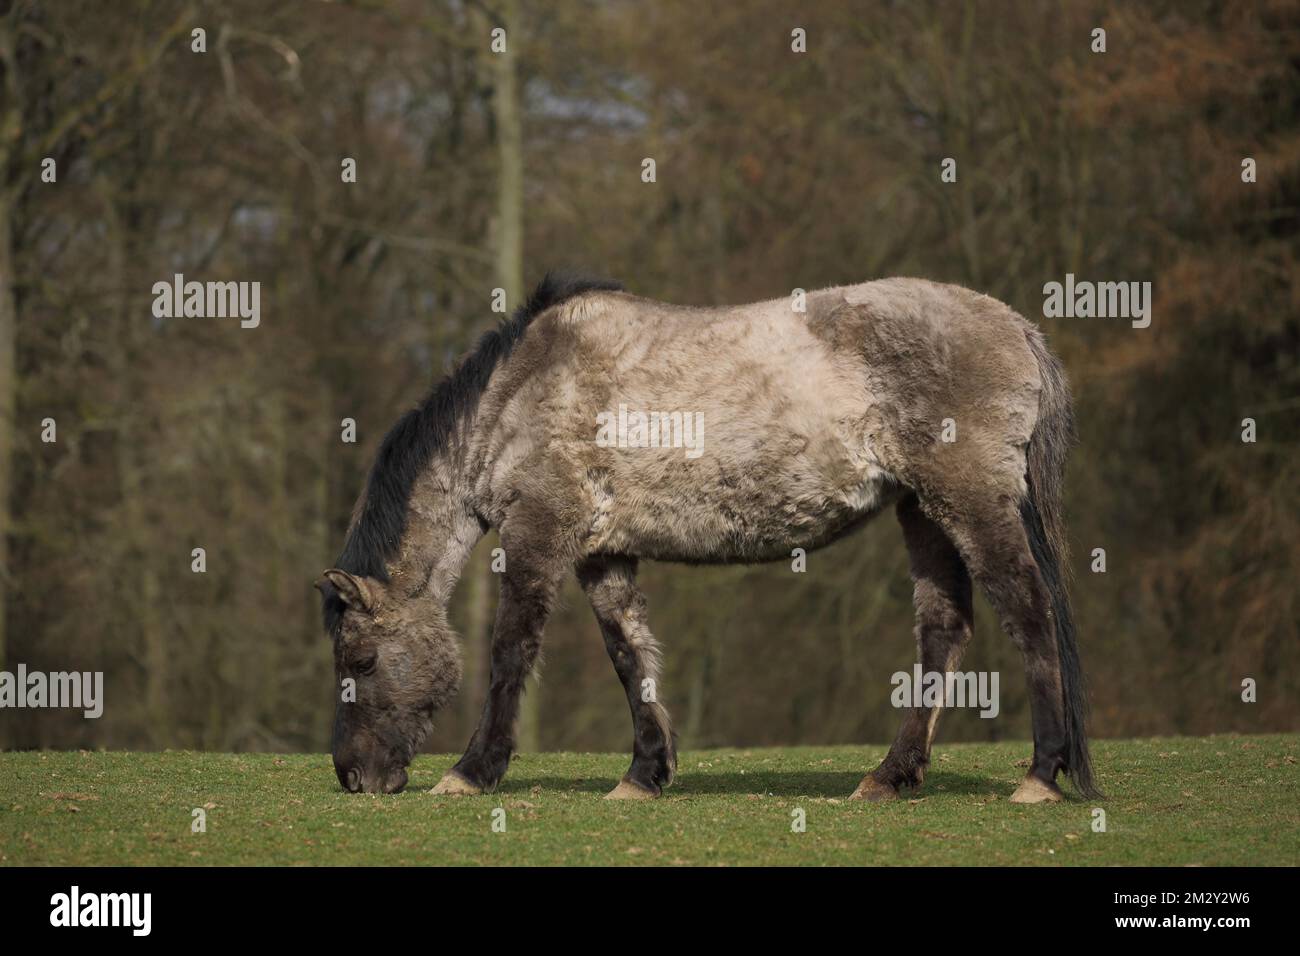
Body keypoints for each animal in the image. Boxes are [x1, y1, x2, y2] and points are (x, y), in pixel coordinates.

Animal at [314, 273, 1097, 806]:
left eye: (361, 659)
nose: (351, 776)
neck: (517, 395)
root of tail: (1018, 329)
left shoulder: (537, 532)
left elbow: (511, 652)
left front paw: (473, 771)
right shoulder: (601, 553)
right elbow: (630, 655)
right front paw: (643, 773)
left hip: (971, 503)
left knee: (1030, 614)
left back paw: (1042, 773)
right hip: (923, 511)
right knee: (943, 630)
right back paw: (891, 774)